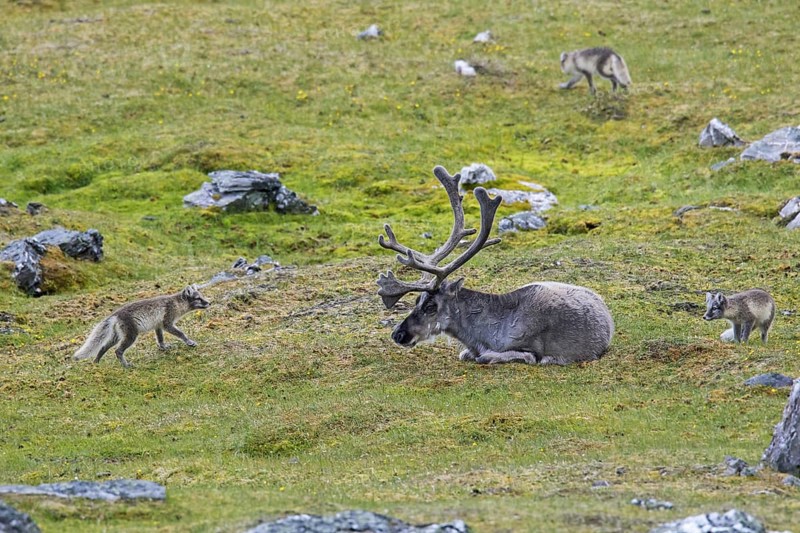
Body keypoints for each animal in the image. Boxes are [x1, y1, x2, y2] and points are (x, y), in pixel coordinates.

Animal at [73, 285, 210, 368]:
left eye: (202, 296)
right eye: (198, 298)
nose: (210, 302)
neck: (176, 303)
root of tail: (115, 314)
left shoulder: (158, 325)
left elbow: (160, 338)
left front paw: (163, 347)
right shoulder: (167, 323)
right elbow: (181, 333)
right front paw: (189, 342)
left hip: (116, 337)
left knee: (103, 347)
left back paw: (96, 362)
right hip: (131, 335)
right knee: (118, 351)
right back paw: (126, 366)